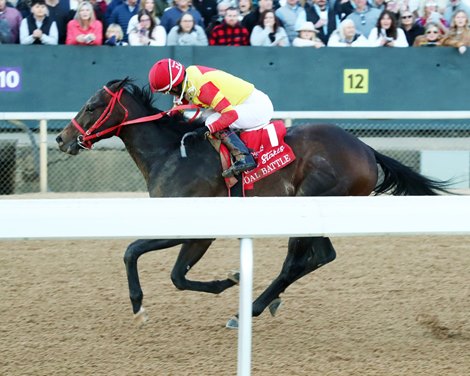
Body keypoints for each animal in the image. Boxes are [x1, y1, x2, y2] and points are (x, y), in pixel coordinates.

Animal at [56, 78, 452, 326]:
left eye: (92, 106)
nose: (62, 138)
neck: (171, 153)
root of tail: (367, 149)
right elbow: (171, 272)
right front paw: (228, 279)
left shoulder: (198, 228)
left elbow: (141, 256)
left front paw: (141, 305)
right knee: (322, 256)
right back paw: (264, 302)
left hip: (308, 202)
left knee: (297, 262)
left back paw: (249, 309)